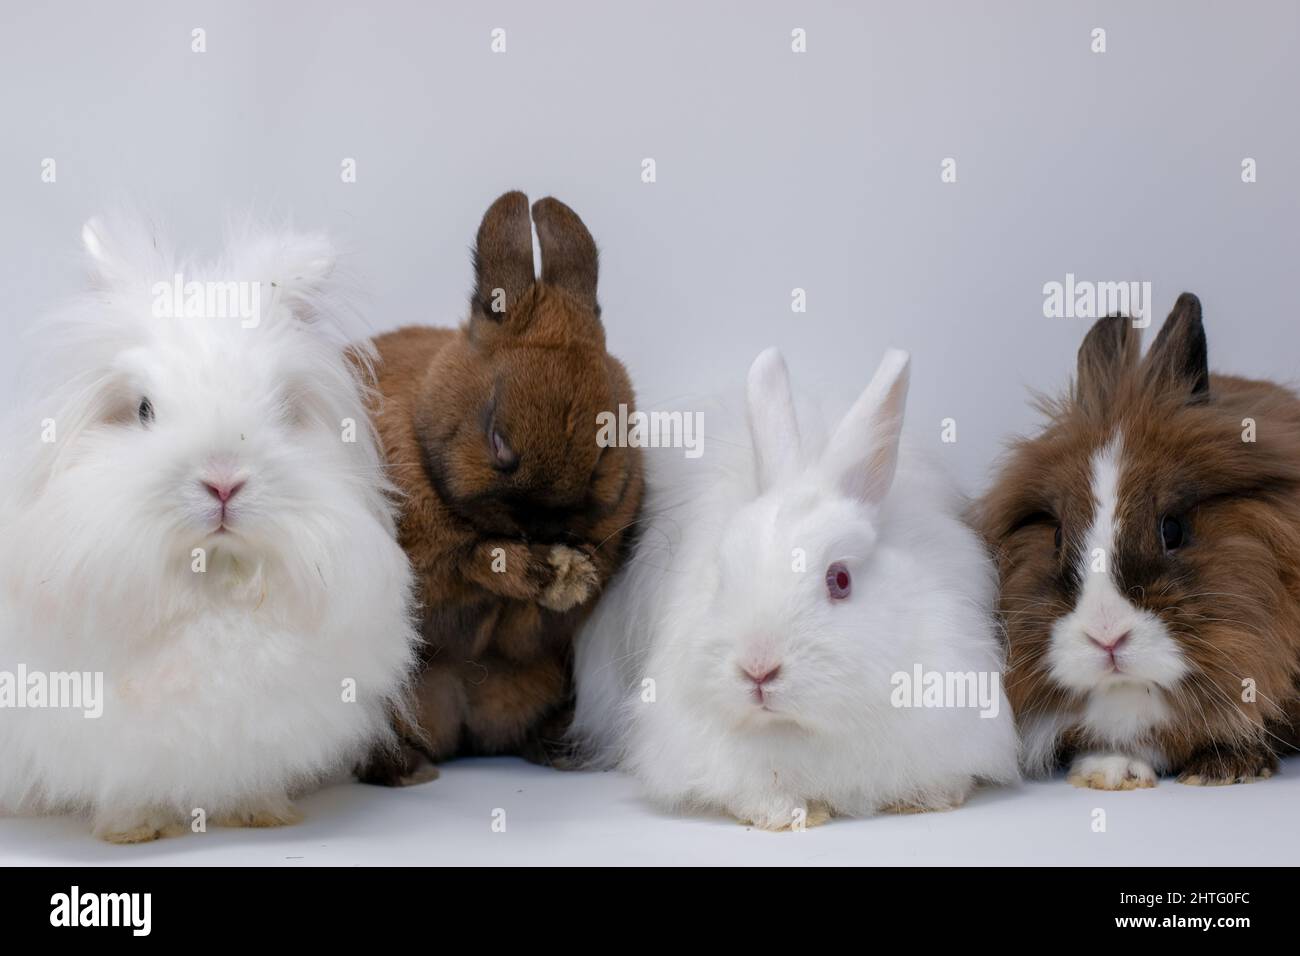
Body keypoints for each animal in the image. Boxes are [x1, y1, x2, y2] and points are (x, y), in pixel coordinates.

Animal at [0, 213, 420, 842]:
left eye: (282, 410)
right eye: (143, 410)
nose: (223, 482)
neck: (212, 584)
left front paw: (260, 816)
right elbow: (128, 789)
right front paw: (135, 831)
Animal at [356, 191, 644, 784]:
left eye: (606, 451)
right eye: (497, 442)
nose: (543, 525)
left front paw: (567, 575)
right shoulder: (428, 569)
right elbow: (471, 562)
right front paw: (535, 569)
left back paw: (557, 749)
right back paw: (405, 770)